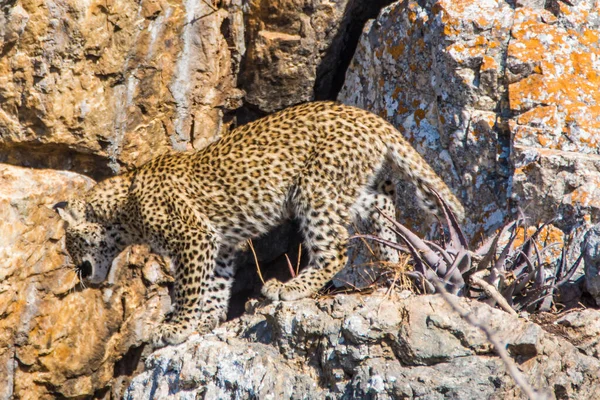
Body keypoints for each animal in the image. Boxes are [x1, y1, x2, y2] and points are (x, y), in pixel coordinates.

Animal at [54, 101, 464, 348]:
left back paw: (291, 288)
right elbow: (215, 286)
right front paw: (206, 320)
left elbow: (189, 289)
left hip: (314, 190)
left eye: (71, 246)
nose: (80, 273)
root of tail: (367, 116)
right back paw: (389, 266)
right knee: (384, 206)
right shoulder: (219, 244)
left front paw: (175, 327)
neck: (123, 212)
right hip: (352, 187)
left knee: (335, 250)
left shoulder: (193, 238)